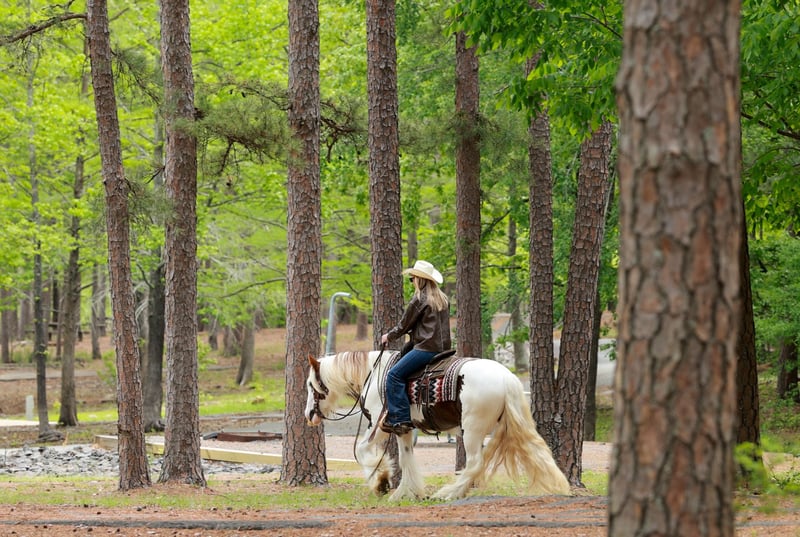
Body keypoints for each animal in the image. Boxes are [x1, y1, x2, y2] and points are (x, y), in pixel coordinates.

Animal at [304, 349, 570, 501]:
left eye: (309, 384)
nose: (309, 414)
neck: (375, 373)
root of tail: (507, 378)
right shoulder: (403, 429)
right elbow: (406, 459)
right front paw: (405, 493)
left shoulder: (378, 425)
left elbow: (361, 451)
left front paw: (380, 482)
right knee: (534, 453)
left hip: (472, 429)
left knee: (475, 462)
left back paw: (449, 493)